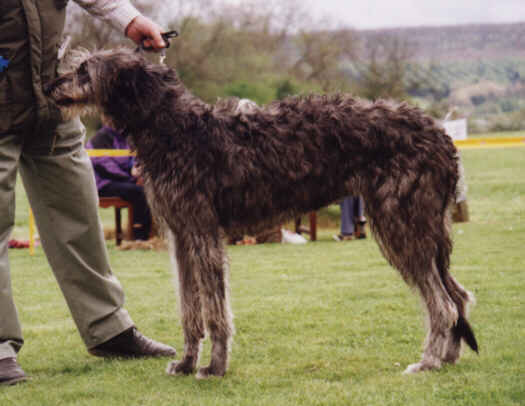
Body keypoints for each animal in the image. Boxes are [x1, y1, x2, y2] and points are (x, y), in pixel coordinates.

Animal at [47, 49, 476, 380]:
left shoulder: (203, 232)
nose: (50, 87)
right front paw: (186, 364)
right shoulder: (180, 237)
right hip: (422, 228)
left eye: (85, 70)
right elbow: (190, 311)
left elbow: (215, 311)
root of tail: (441, 135)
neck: (174, 130)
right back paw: (448, 357)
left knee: (443, 303)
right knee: (458, 296)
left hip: (401, 223)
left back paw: (428, 362)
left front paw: (214, 368)